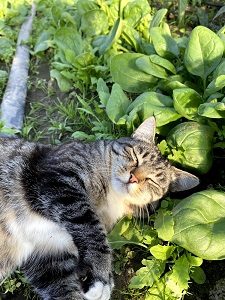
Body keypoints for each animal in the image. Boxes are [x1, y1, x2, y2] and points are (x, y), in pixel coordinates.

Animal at [0, 116, 199, 298]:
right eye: (135, 157)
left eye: (153, 180)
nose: (133, 177)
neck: (110, 197)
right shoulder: (58, 179)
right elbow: (92, 229)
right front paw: (100, 276)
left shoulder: (50, 256)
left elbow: (63, 288)